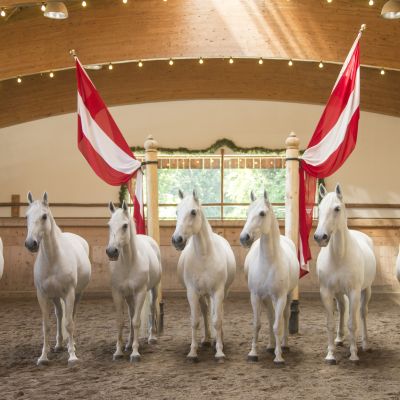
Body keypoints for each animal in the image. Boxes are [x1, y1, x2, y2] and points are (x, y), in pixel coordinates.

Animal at [25, 192, 91, 364]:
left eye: (44, 216)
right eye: (26, 216)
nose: (30, 243)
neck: (53, 259)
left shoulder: (69, 293)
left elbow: (69, 324)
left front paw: (72, 356)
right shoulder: (42, 295)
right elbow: (46, 325)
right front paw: (43, 356)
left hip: (77, 294)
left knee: (71, 316)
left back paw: (70, 344)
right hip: (55, 296)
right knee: (60, 315)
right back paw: (59, 344)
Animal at [108, 202, 162, 360]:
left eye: (125, 225)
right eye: (109, 225)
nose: (111, 251)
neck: (128, 263)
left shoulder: (140, 292)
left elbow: (136, 321)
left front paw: (135, 352)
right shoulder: (117, 293)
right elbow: (121, 322)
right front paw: (119, 351)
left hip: (153, 289)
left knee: (152, 308)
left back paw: (151, 337)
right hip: (129, 296)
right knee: (131, 315)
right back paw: (128, 343)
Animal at [171, 191, 234, 362]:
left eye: (193, 212)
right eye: (177, 212)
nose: (177, 240)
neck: (204, 256)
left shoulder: (218, 292)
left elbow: (217, 320)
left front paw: (219, 351)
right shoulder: (192, 293)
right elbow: (195, 321)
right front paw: (193, 352)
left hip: (221, 293)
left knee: (219, 313)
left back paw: (218, 339)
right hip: (202, 294)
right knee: (206, 312)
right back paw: (206, 339)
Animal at [239, 189, 298, 364]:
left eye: (262, 213)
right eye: (247, 212)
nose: (244, 238)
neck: (268, 262)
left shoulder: (280, 297)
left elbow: (278, 325)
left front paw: (279, 357)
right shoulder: (256, 296)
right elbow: (257, 324)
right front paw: (253, 353)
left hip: (288, 296)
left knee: (284, 316)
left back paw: (283, 345)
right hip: (266, 298)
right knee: (271, 317)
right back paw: (271, 346)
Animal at [316, 183, 376, 364]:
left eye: (337, 208)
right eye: (319, 208)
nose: (320, 237)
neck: (339, 256)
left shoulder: (354, 292)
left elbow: (353, 323)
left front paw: (354, 354)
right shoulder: (327, 292)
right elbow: (330, 323)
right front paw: (330, 354)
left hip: (366, 290)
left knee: (362, 313)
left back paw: (365, 344)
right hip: (339, 293)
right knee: (342, 309)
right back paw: (339, 338)